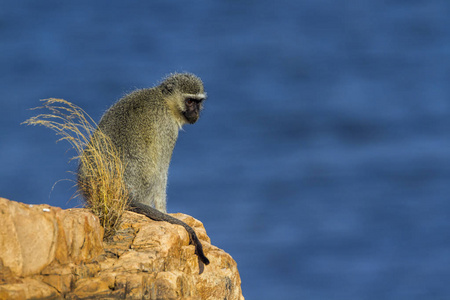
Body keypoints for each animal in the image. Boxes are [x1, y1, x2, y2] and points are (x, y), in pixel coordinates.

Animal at [76, 72, 210, 264]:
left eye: (198, 102)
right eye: (190, 101)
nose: (196, 112)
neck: (163, 100)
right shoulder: (167, 129)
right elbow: (162, 172)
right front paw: (163, 211)